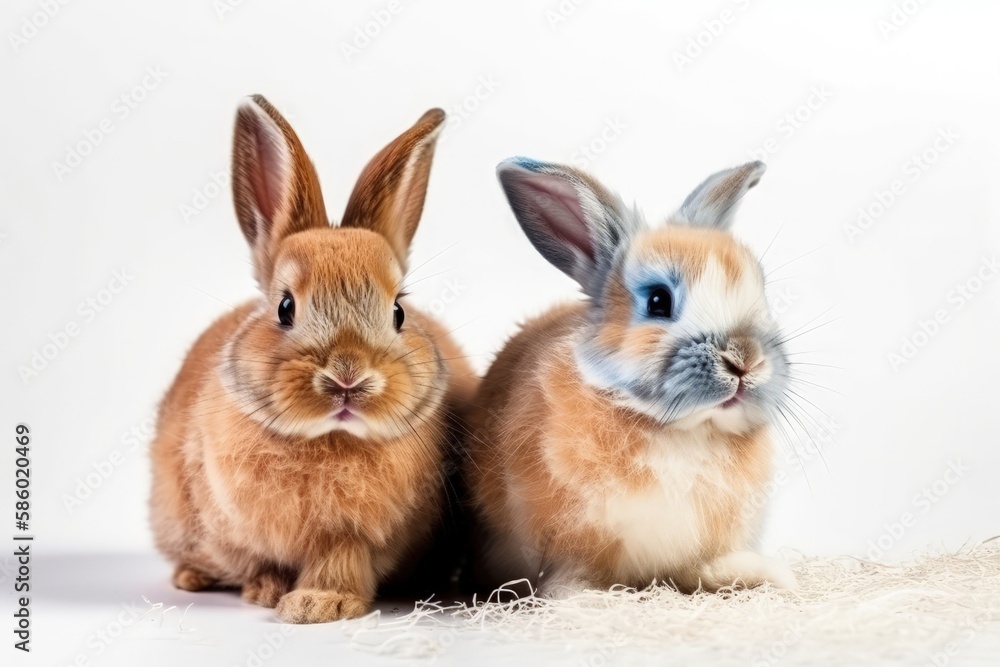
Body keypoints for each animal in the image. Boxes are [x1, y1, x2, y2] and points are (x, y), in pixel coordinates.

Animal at [150, 95, 476, 624]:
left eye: (398, 311)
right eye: (285, 307)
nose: (348, 378)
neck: (330, 438)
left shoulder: (354, 538)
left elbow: (340, 560)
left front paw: (319, 604)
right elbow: (263, 561)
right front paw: (269, 592)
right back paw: (192, 577)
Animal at [466, 157, 798, 596]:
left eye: (761, 292)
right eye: (658, 301)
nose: (745, 359)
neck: (682, 430)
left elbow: (703, 567)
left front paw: (770, 576)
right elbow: (576, 573)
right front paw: (581, 597)